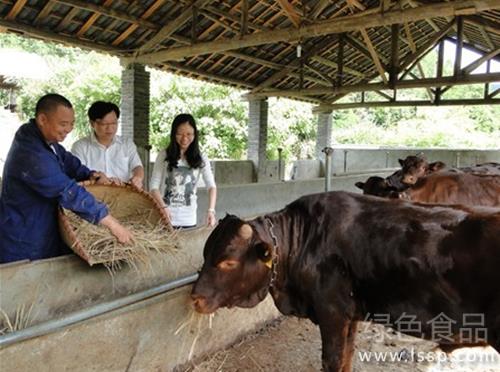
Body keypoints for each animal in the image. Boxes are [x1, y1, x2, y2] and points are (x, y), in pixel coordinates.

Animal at [191, 192, 500, 372]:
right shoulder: (351, 315)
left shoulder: (333, 313)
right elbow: (348, 356)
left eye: (228, 261)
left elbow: (333, 360)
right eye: (205, 253)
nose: (195, 298)